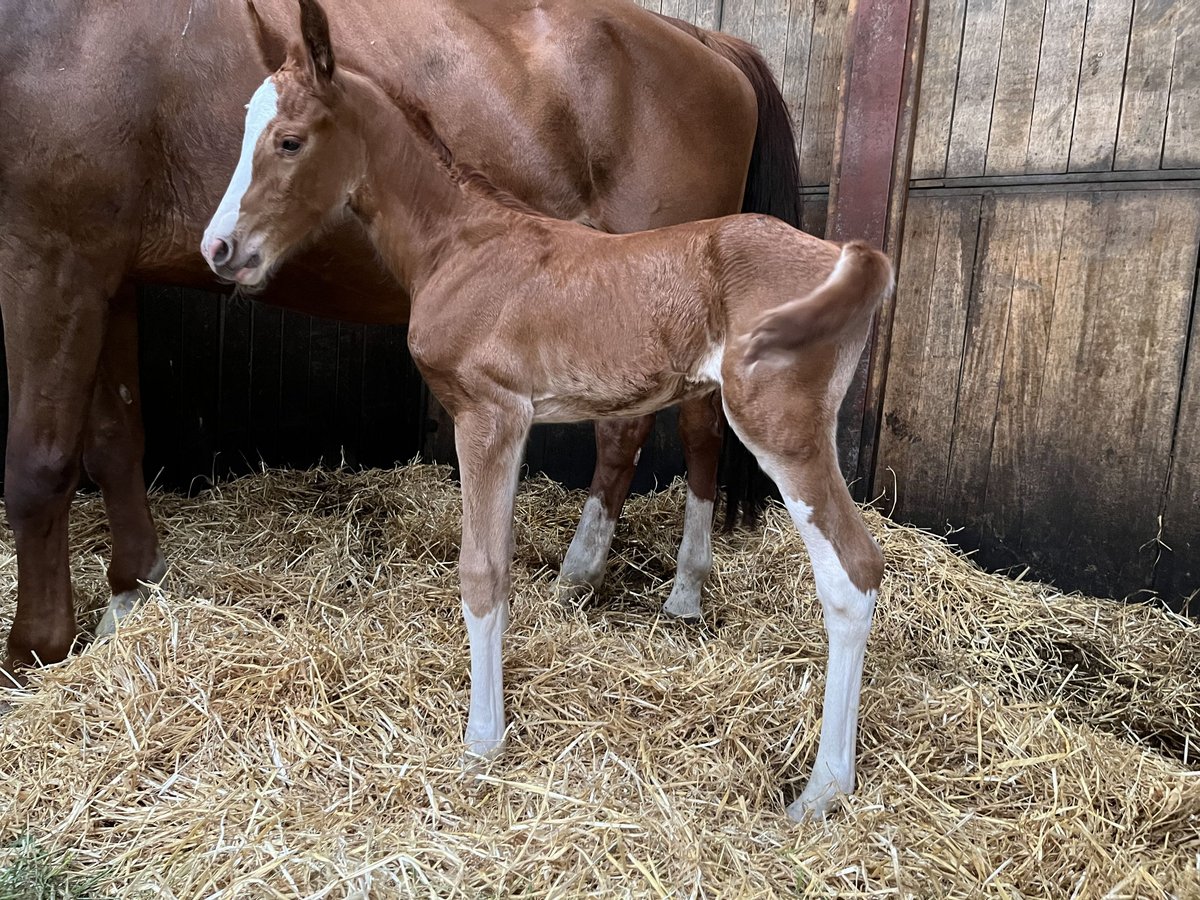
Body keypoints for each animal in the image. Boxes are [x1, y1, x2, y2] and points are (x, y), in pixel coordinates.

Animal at [4, 0, 801, 676]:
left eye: (288, 142)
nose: (220, 247)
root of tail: (709, 43)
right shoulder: (108, 273)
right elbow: (115, 440)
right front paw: (127, 596)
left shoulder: (51, 258)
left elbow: (40, 464)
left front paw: (35, 649)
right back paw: (584, 579)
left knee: (691, 430)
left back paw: (678, 592)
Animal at [208, 0, 892, 820]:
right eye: (242, 131)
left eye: (289, 140)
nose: (219, 249)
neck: (460, 243)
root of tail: (845, 257)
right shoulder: (509, 419)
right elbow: (497, 564)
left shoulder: (488, 414)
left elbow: (481, 571)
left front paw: (481, 744)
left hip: (781, 427)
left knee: (853, 573)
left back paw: (821, 792)